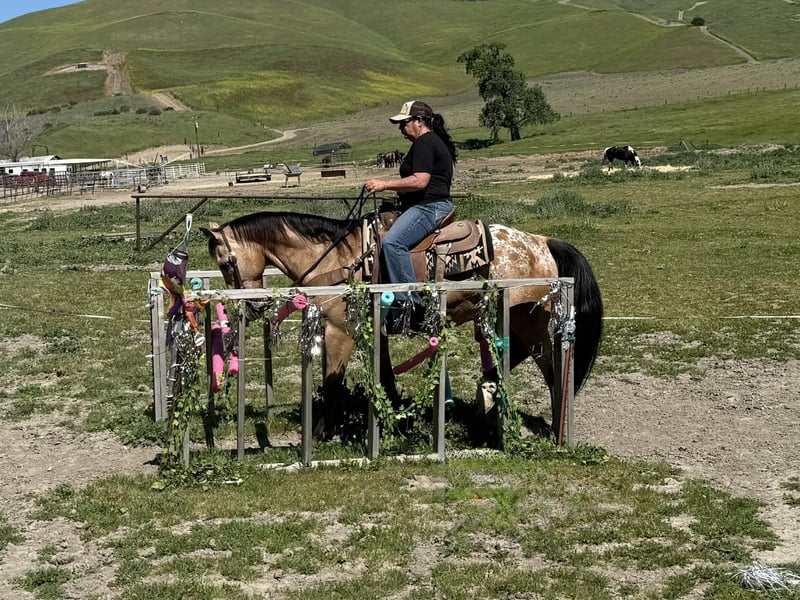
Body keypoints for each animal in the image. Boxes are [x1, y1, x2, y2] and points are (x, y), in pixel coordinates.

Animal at [200, 210, 603, 438]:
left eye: (226, 261)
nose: (251, 306)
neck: (339, 259)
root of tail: (542, 242)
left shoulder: (340, 331)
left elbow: (331, 384)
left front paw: (320, 433)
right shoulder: (373, 330)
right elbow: (384, 376)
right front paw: (394, 418)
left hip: (526, 315)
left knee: (550, 365)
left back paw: (551, 422)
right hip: (521, 316)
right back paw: (490, 395)